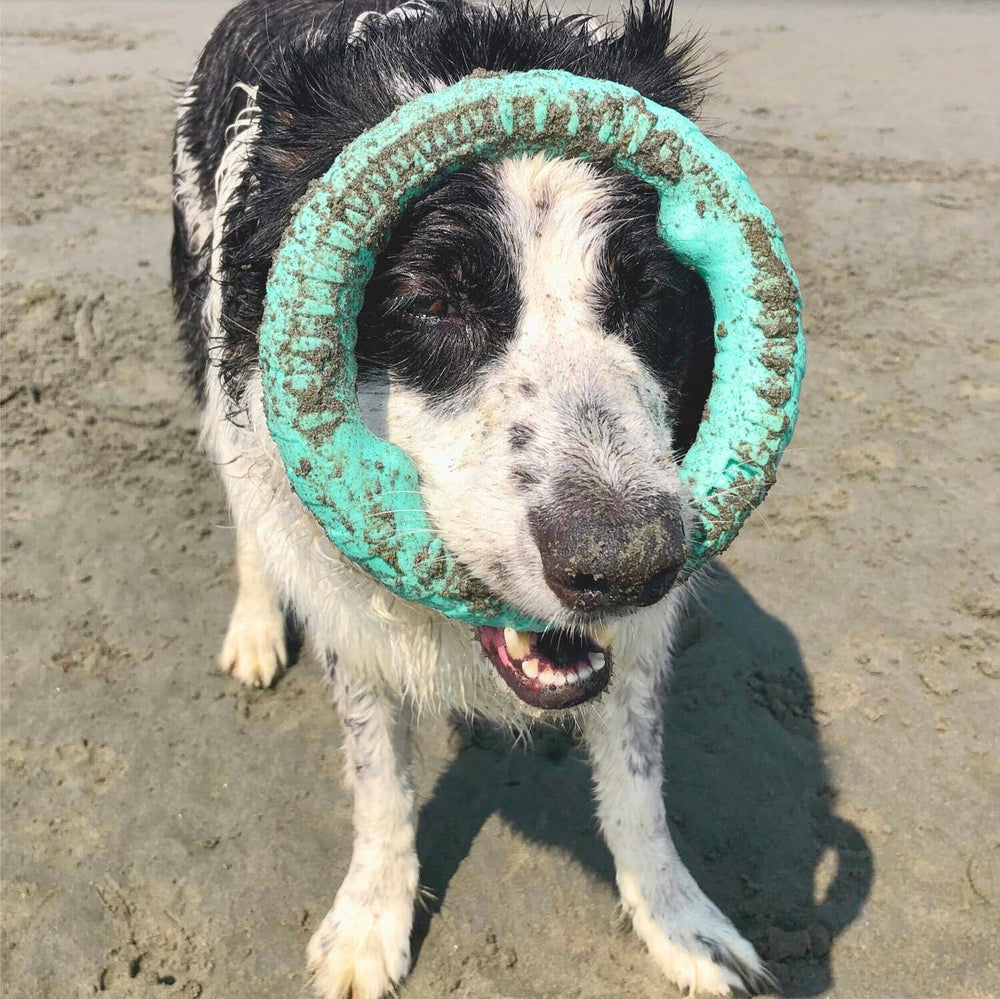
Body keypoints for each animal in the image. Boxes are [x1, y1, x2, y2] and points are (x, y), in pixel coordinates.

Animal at [174, 3, 772, 996]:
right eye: (432, 303)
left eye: (651, 292)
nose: (625, 565)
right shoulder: (350, 610)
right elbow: (379, 776)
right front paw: (368, 922)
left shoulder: (638, 642)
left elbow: (639, 781)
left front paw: (682, 923)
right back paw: (256, 626)